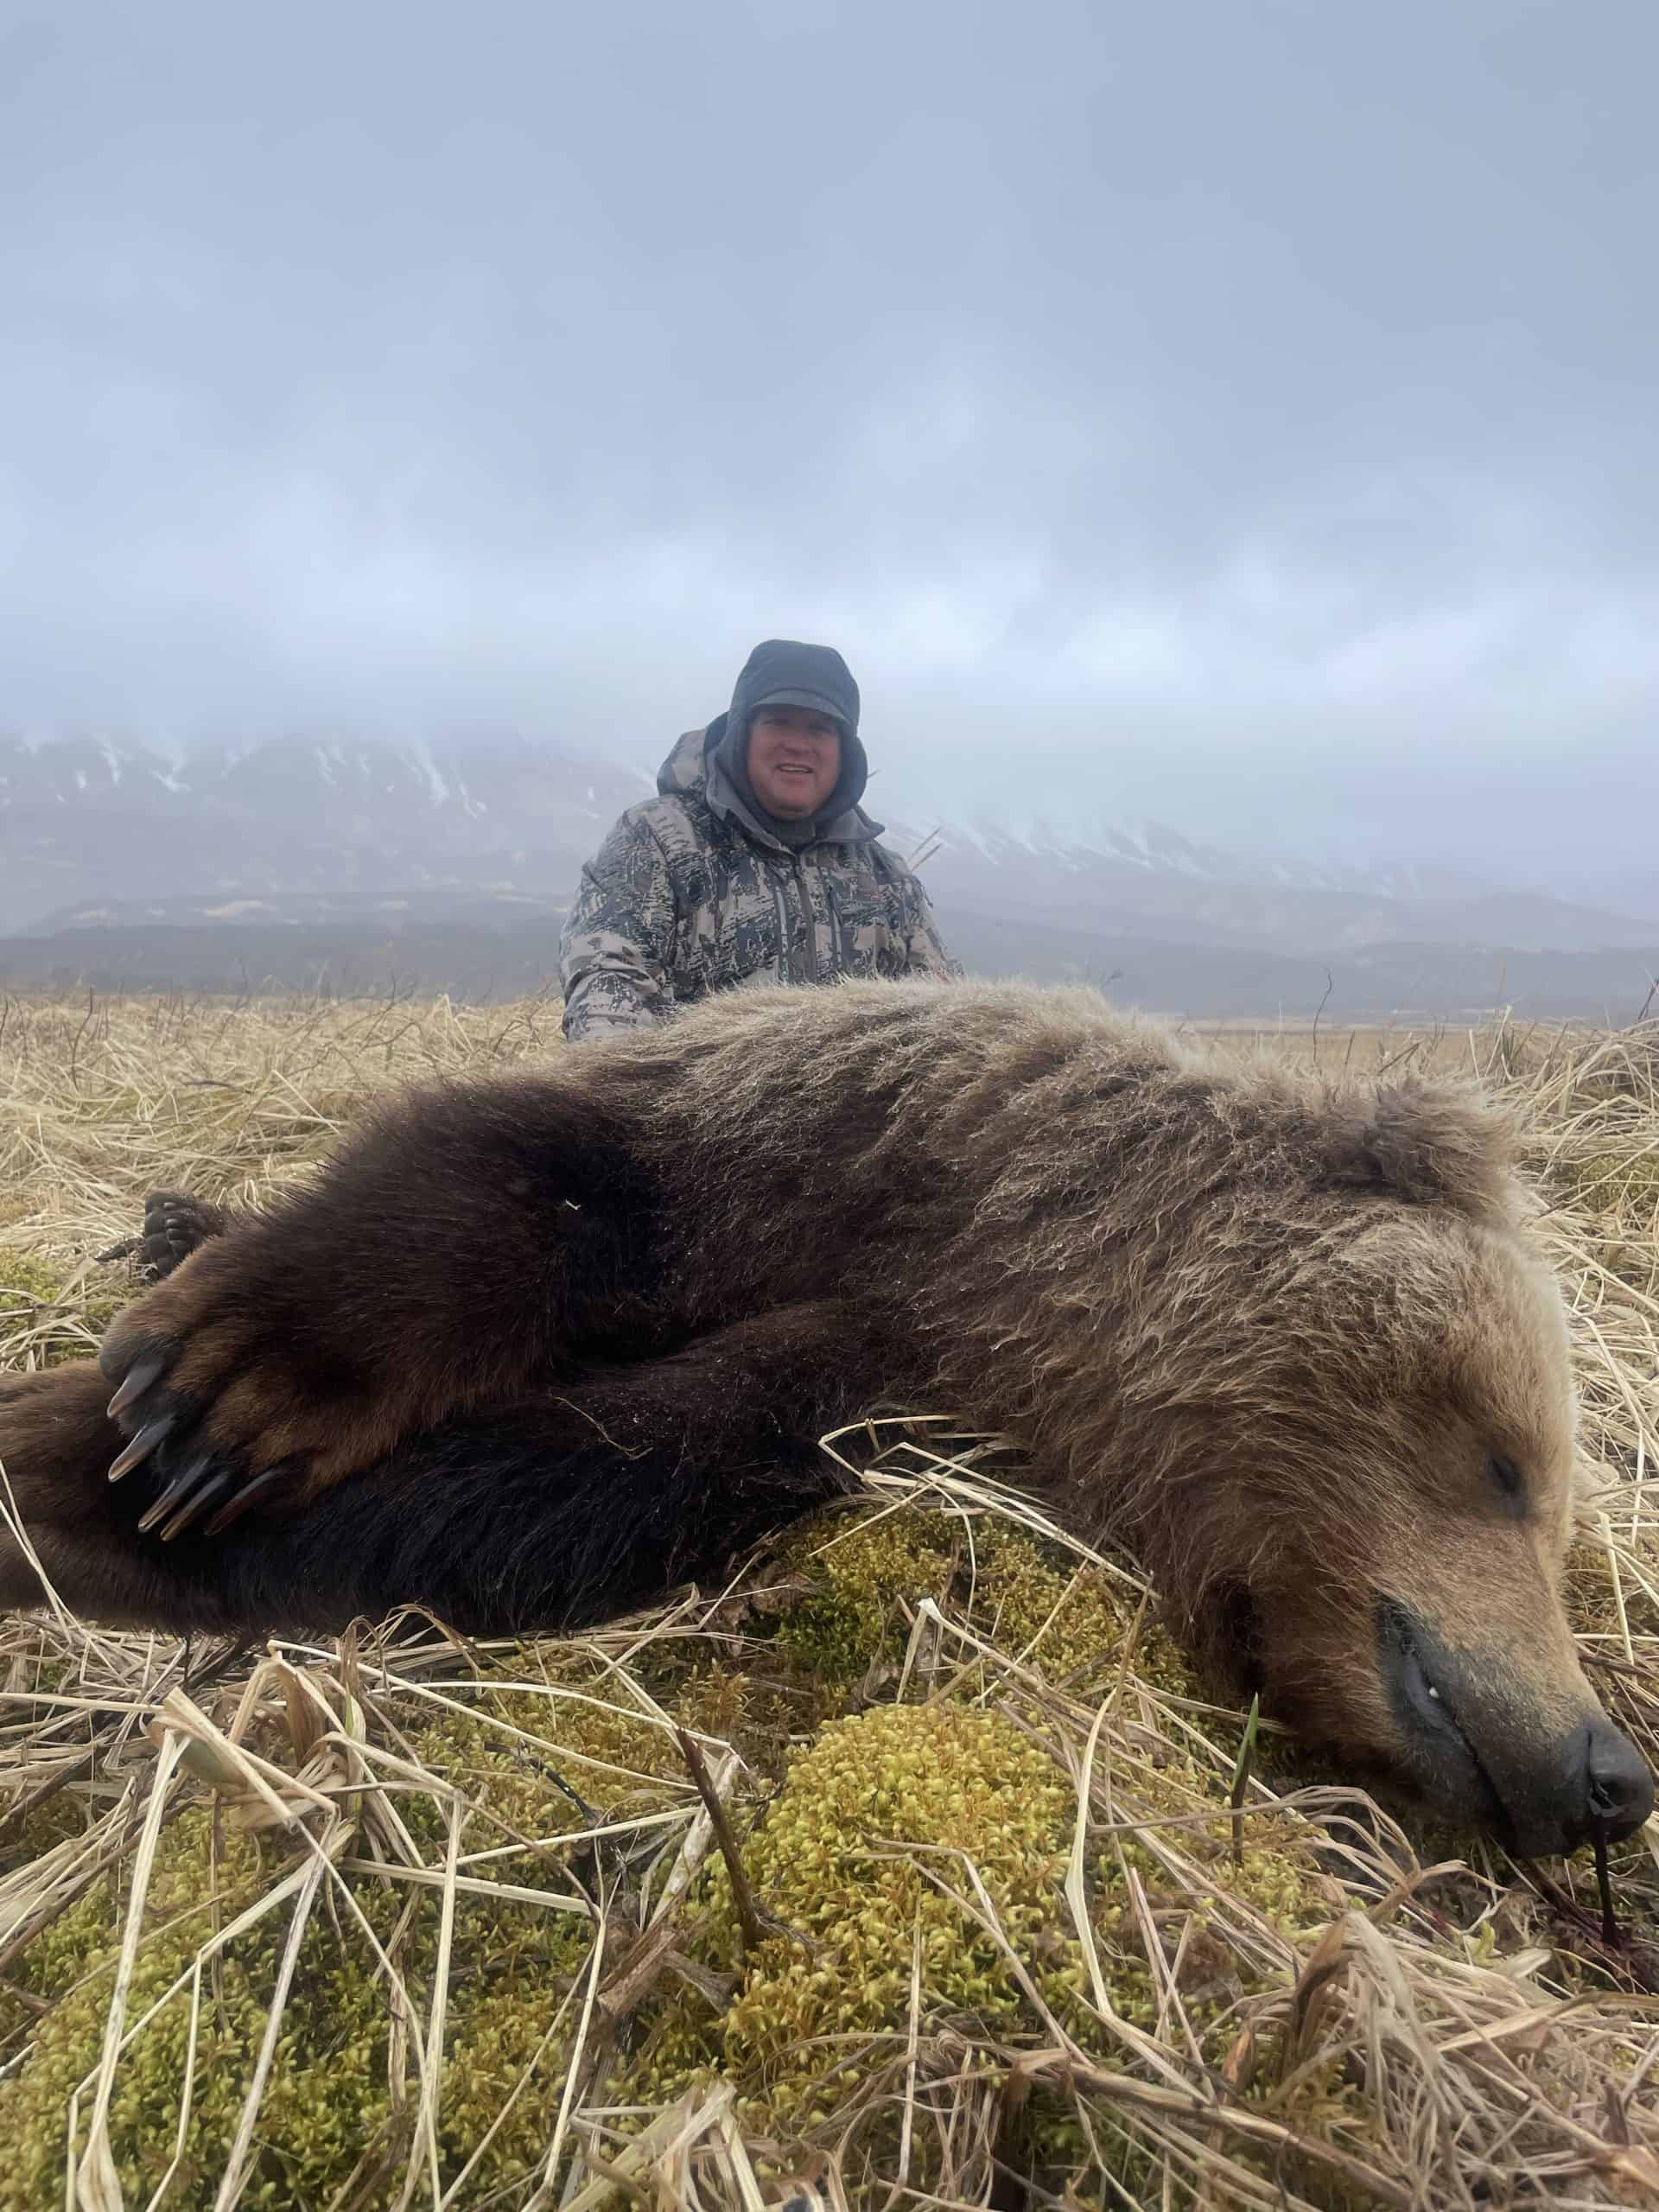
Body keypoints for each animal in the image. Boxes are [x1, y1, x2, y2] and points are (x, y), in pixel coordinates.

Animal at [0, 977, 1649, 1861]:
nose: (1608, 1772)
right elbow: (516, 1180)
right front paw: (181, 1407)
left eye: (1557, 1510)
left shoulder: (879, 1380)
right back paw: (171, 1230)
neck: (992, 1262)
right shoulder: (819, 1128)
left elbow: (555, 1487)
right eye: (1509, 1465)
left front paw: (94, 1496)